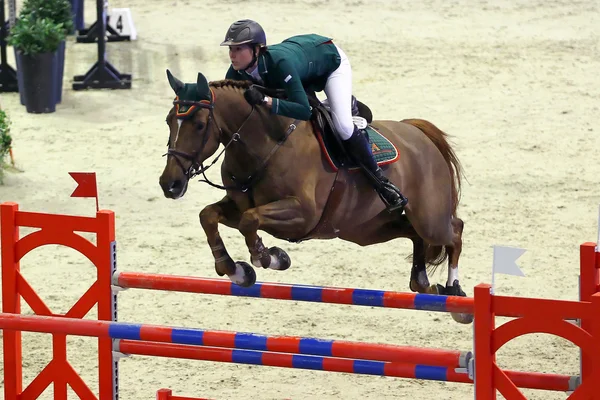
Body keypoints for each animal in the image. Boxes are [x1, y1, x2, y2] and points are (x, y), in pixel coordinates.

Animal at [159, 69, 474, 324]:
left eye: (199, 124)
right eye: (168, 121)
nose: (169, 184)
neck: (265, 143)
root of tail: (417, 132)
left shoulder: (301, 215)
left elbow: (251, 221)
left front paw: (271, 257)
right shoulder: (239, 205)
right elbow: (209, 215)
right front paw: (235, 270)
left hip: (428, 217)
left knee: (454, 231)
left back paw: (457, 296)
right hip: (370, 229)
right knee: (415, 238)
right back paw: (426, 284)